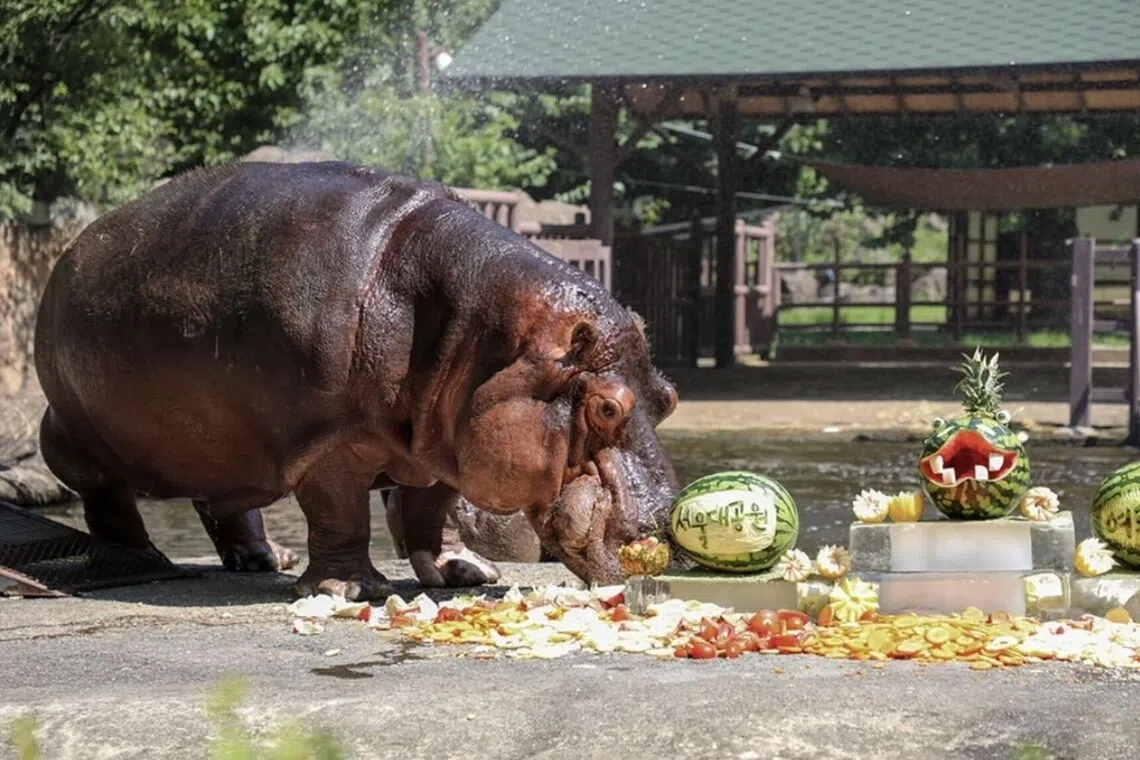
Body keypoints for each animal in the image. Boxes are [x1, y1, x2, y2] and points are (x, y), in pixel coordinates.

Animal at [33, 160, 680, 600]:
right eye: (606, 408)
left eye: (668, 398)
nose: (666, 534)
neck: (477, 329)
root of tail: (70, 253)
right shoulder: (329, 440)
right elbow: (341, 510)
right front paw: (351, 590)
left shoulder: (440, 441)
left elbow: (431, 508)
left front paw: (465, 572)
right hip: (74, 435)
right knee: (107, 498)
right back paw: (141, 556)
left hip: (224, 446)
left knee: (224, 502)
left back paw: (267, 560)